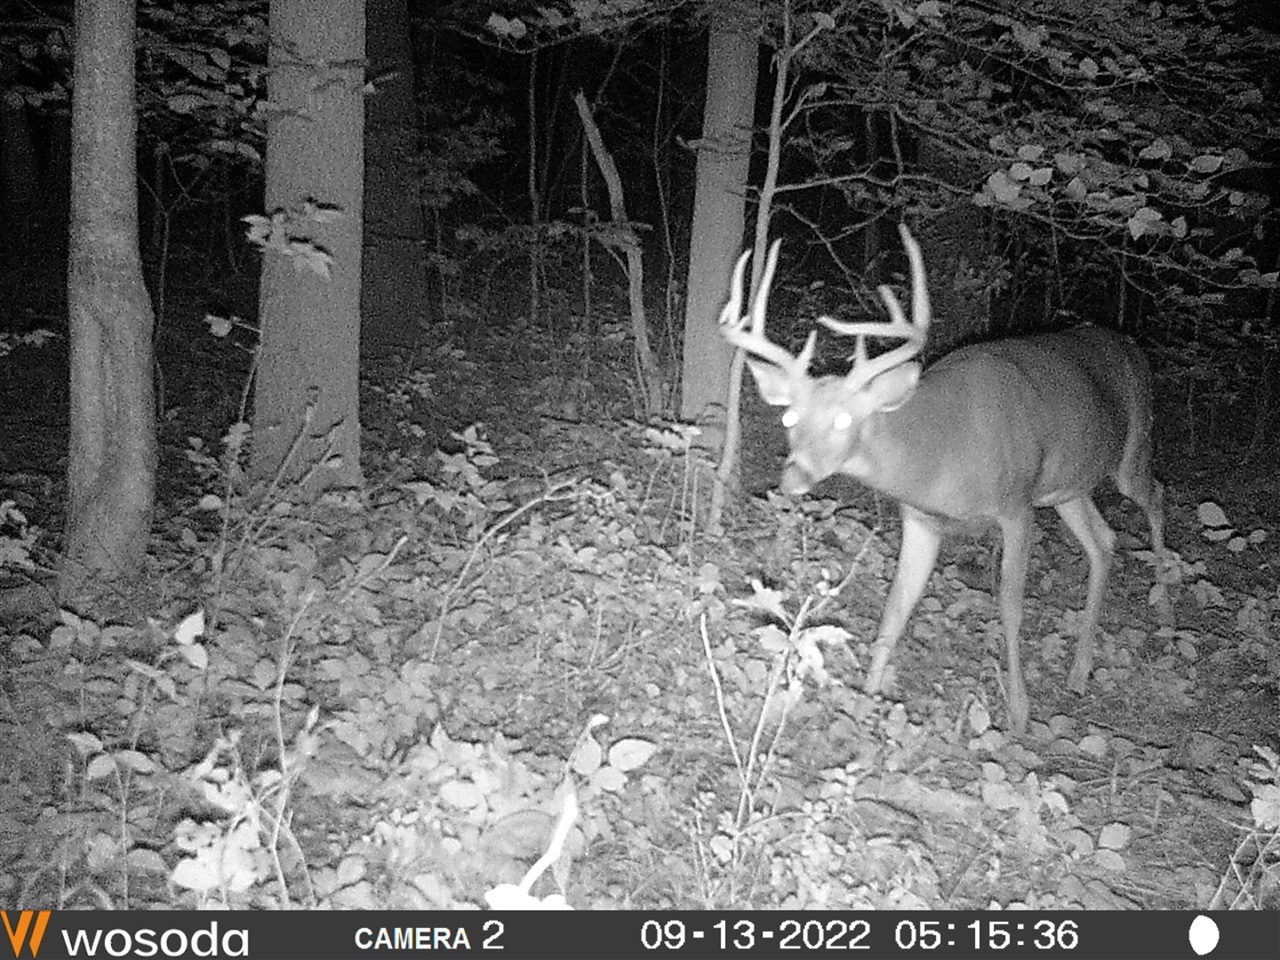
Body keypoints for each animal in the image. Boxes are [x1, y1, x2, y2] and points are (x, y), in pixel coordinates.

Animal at [720, 224, 1165, 734]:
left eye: (844, 420)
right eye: (790, 416)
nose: (793, 476)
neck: (943, 454)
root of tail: (1131, 345)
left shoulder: (1017, 506)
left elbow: (1010, 606)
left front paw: (1019, 713)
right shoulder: (920, 519)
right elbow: (895, 608)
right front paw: (865, 701)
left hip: (1131, 451)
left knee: (1155, 496)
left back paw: (1165, 609)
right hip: (1067, 488)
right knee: (1105, 542)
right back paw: (1079, 672)